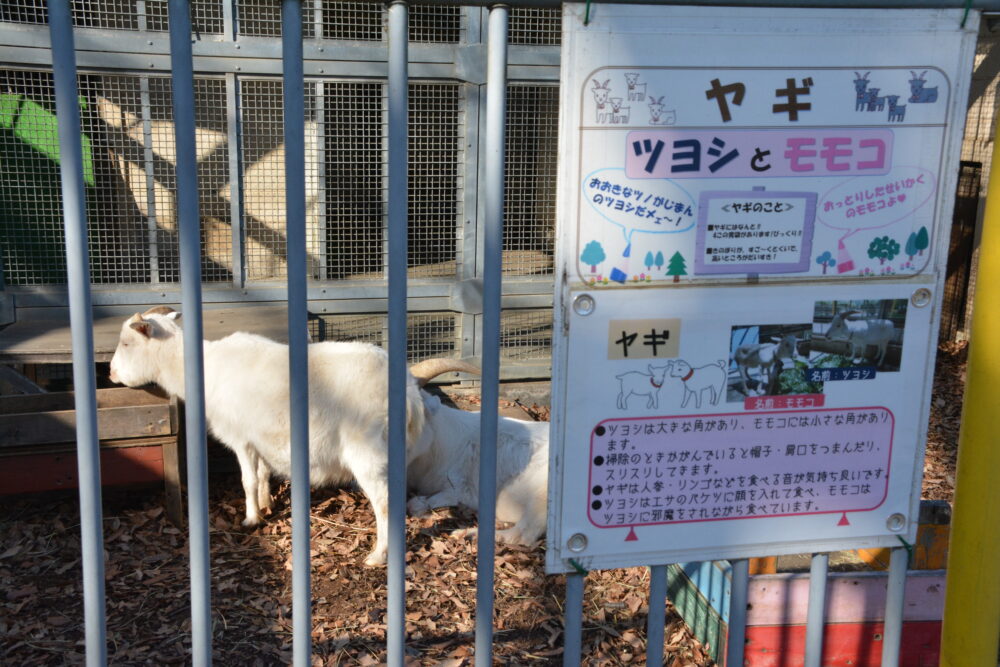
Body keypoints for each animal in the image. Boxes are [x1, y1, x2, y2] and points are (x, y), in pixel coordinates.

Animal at [108, 306, 430, 564]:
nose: (110, 373)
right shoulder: (259, 438)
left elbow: (247, 480)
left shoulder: (240, 438)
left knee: (384, 502)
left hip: (366, 450)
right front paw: (266, 505)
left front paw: (251, 518)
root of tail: (409, 390)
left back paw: (378, 556)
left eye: (126, 342)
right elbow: (262, 474)